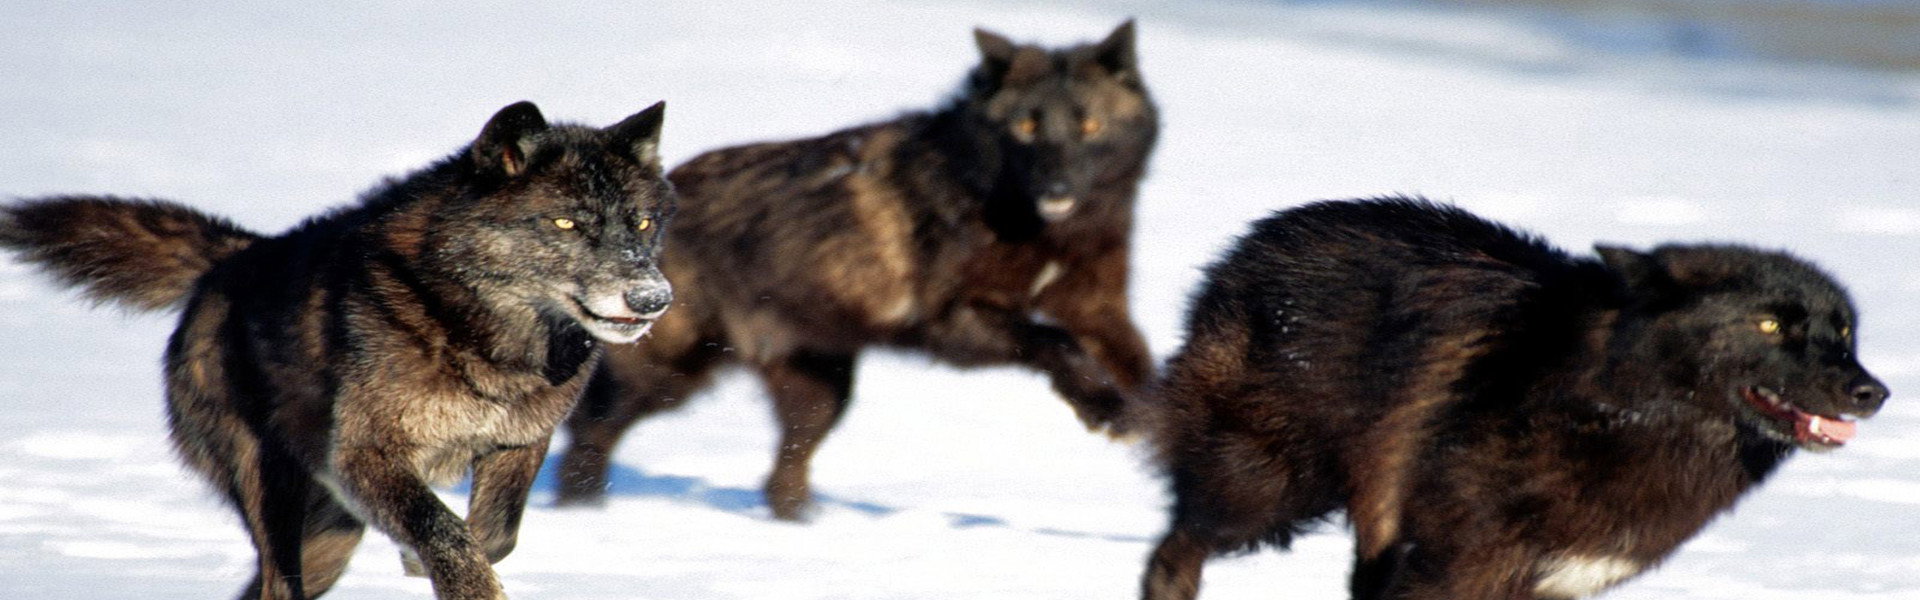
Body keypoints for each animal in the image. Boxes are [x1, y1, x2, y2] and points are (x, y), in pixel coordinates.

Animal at [0, 100, 673, 600]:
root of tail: (235, 257)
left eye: (641, 223)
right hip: (272, 493)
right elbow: (448, 534)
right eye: (566, 224)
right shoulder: (364, 455)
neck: (482, 335)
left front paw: (424, 561)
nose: (653, 298)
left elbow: (492, 534)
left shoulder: (519, 443)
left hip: (330, 537)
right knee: (279, 585)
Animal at [554, 21, 1159, 519]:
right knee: (590, 430)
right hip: (668, 374)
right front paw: (1106, 411)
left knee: (785, 473)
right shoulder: (953, 323)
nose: (1057, 190)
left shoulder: (1101, 309)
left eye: (1090, 126)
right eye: (1027, 127)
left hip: (822, 390)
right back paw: (582, 512)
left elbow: (1141, 366)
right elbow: (1054, 341)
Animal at [1138, 198, 1890, 600]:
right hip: (1267, 493)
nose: (1874, 392)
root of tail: (1250, 242)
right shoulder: (1452, 570)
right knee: (1174, 552)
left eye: (1844, 332)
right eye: (1770, 326)